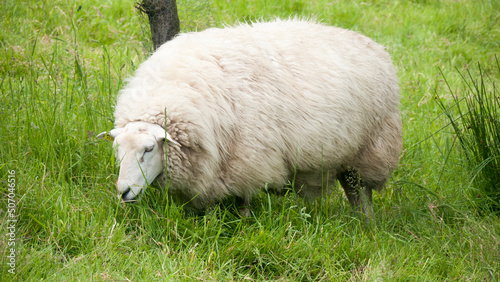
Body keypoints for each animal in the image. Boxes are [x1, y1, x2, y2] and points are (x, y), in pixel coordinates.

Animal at [97, 18, 402, 217]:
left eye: (149, 149)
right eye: (117, 151)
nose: (123, 192)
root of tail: (371, 43)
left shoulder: (247, 163)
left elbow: (242, 205)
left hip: (370, 148)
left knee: (360, 192)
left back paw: (365, 225)